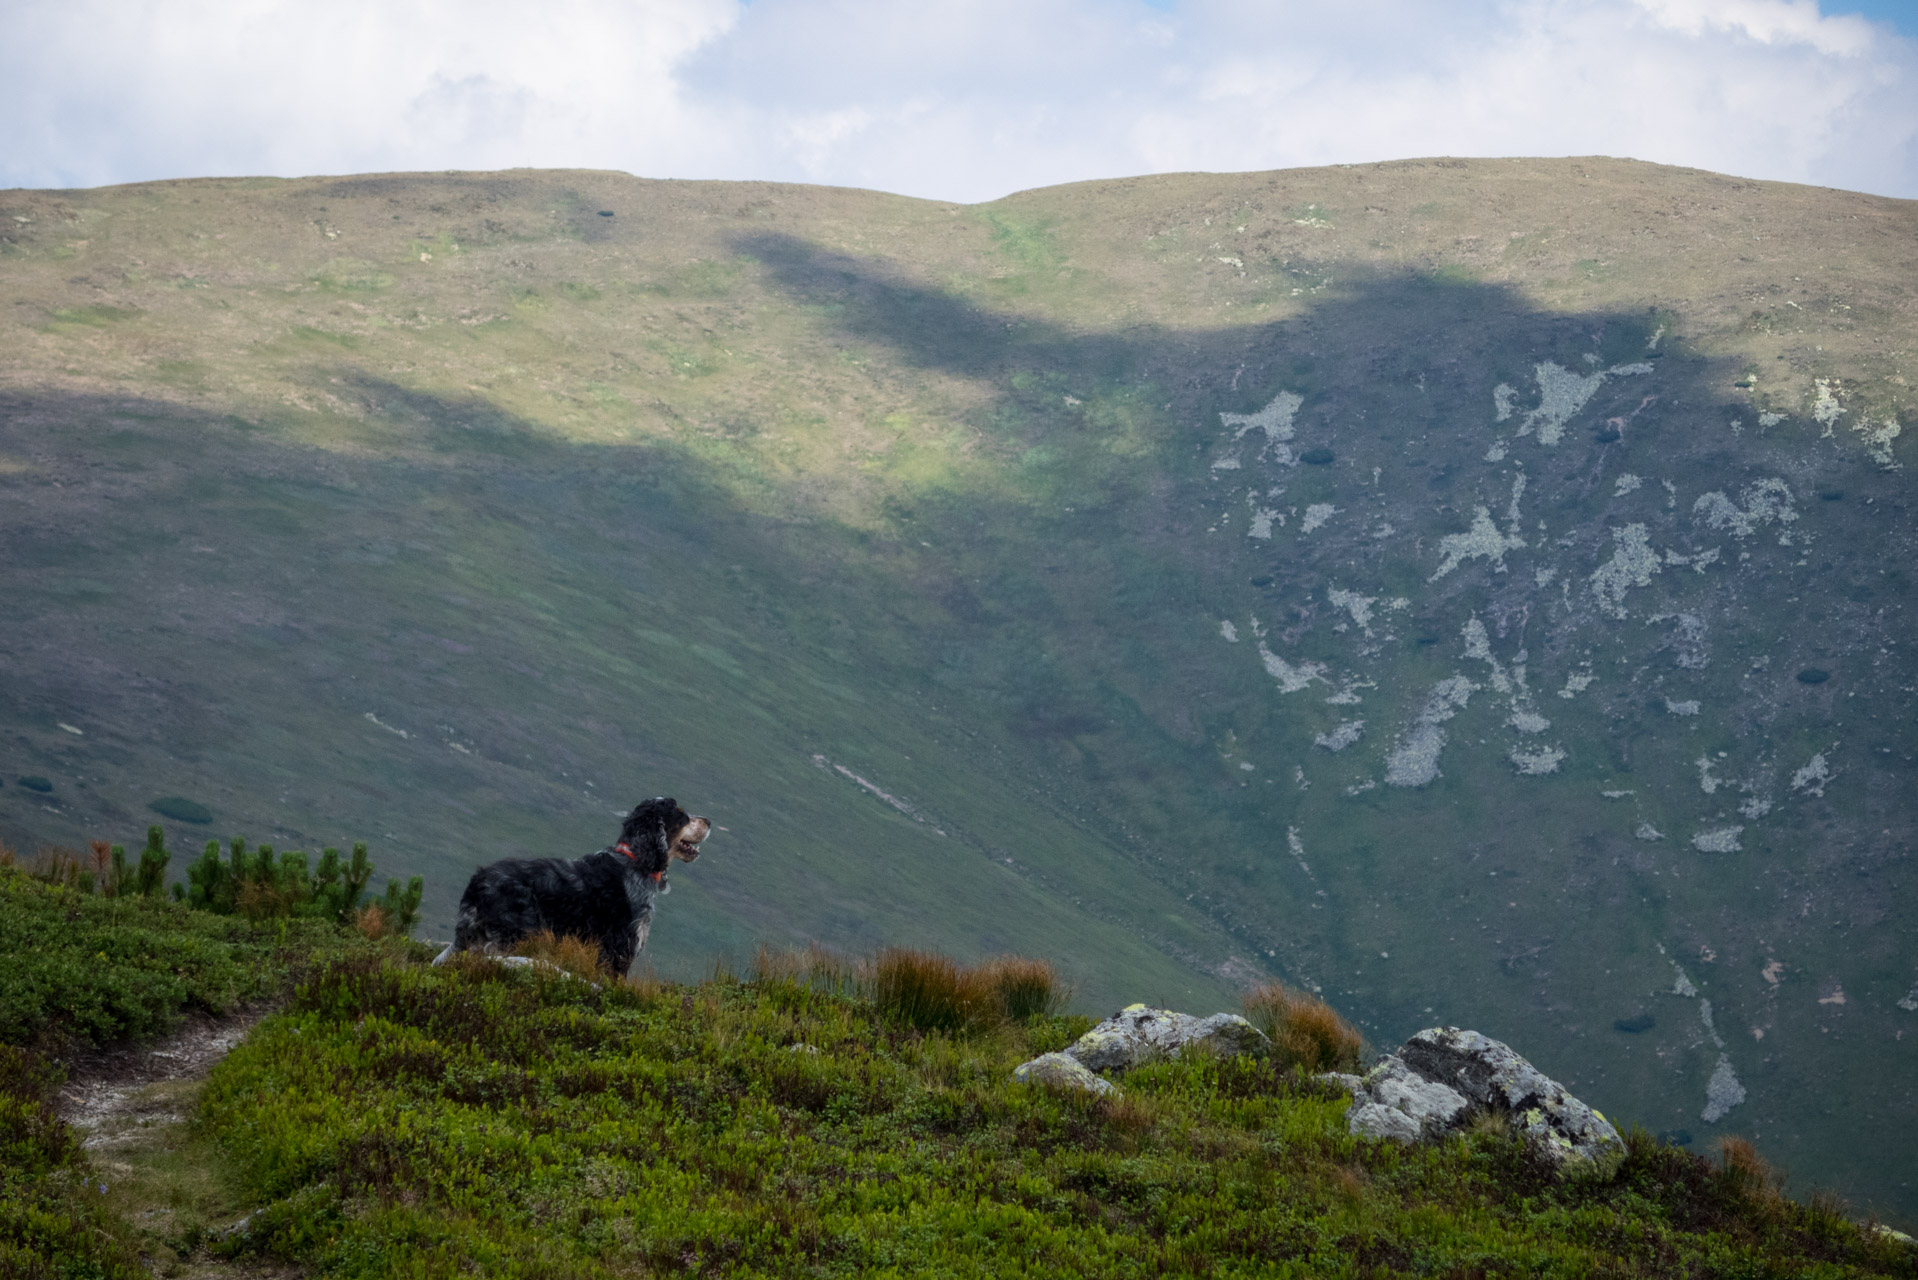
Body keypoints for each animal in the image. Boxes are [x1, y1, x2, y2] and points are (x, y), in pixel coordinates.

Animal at [435, 794, 713, 974]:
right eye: (682, 815)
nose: (709, 821)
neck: (635, 860)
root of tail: (478, 881)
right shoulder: (619, 946)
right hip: (514, 934)